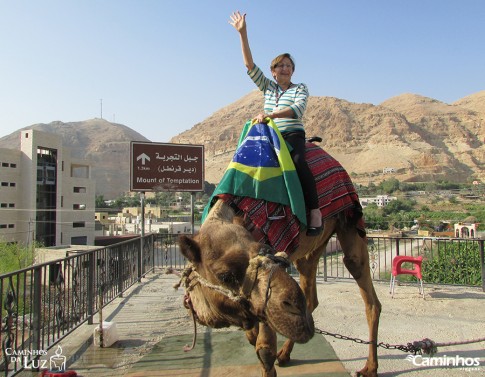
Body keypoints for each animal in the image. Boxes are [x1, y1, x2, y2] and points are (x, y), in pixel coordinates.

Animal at [176, 142, 380, 374]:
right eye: (225, 276)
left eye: (266, 248)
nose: (294, 310)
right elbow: (252, 334)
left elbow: (264, 349)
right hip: (312, 247)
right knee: (310, 290)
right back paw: (286, 353)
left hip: (350, 220)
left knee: (366, 291)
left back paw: (369, 368)